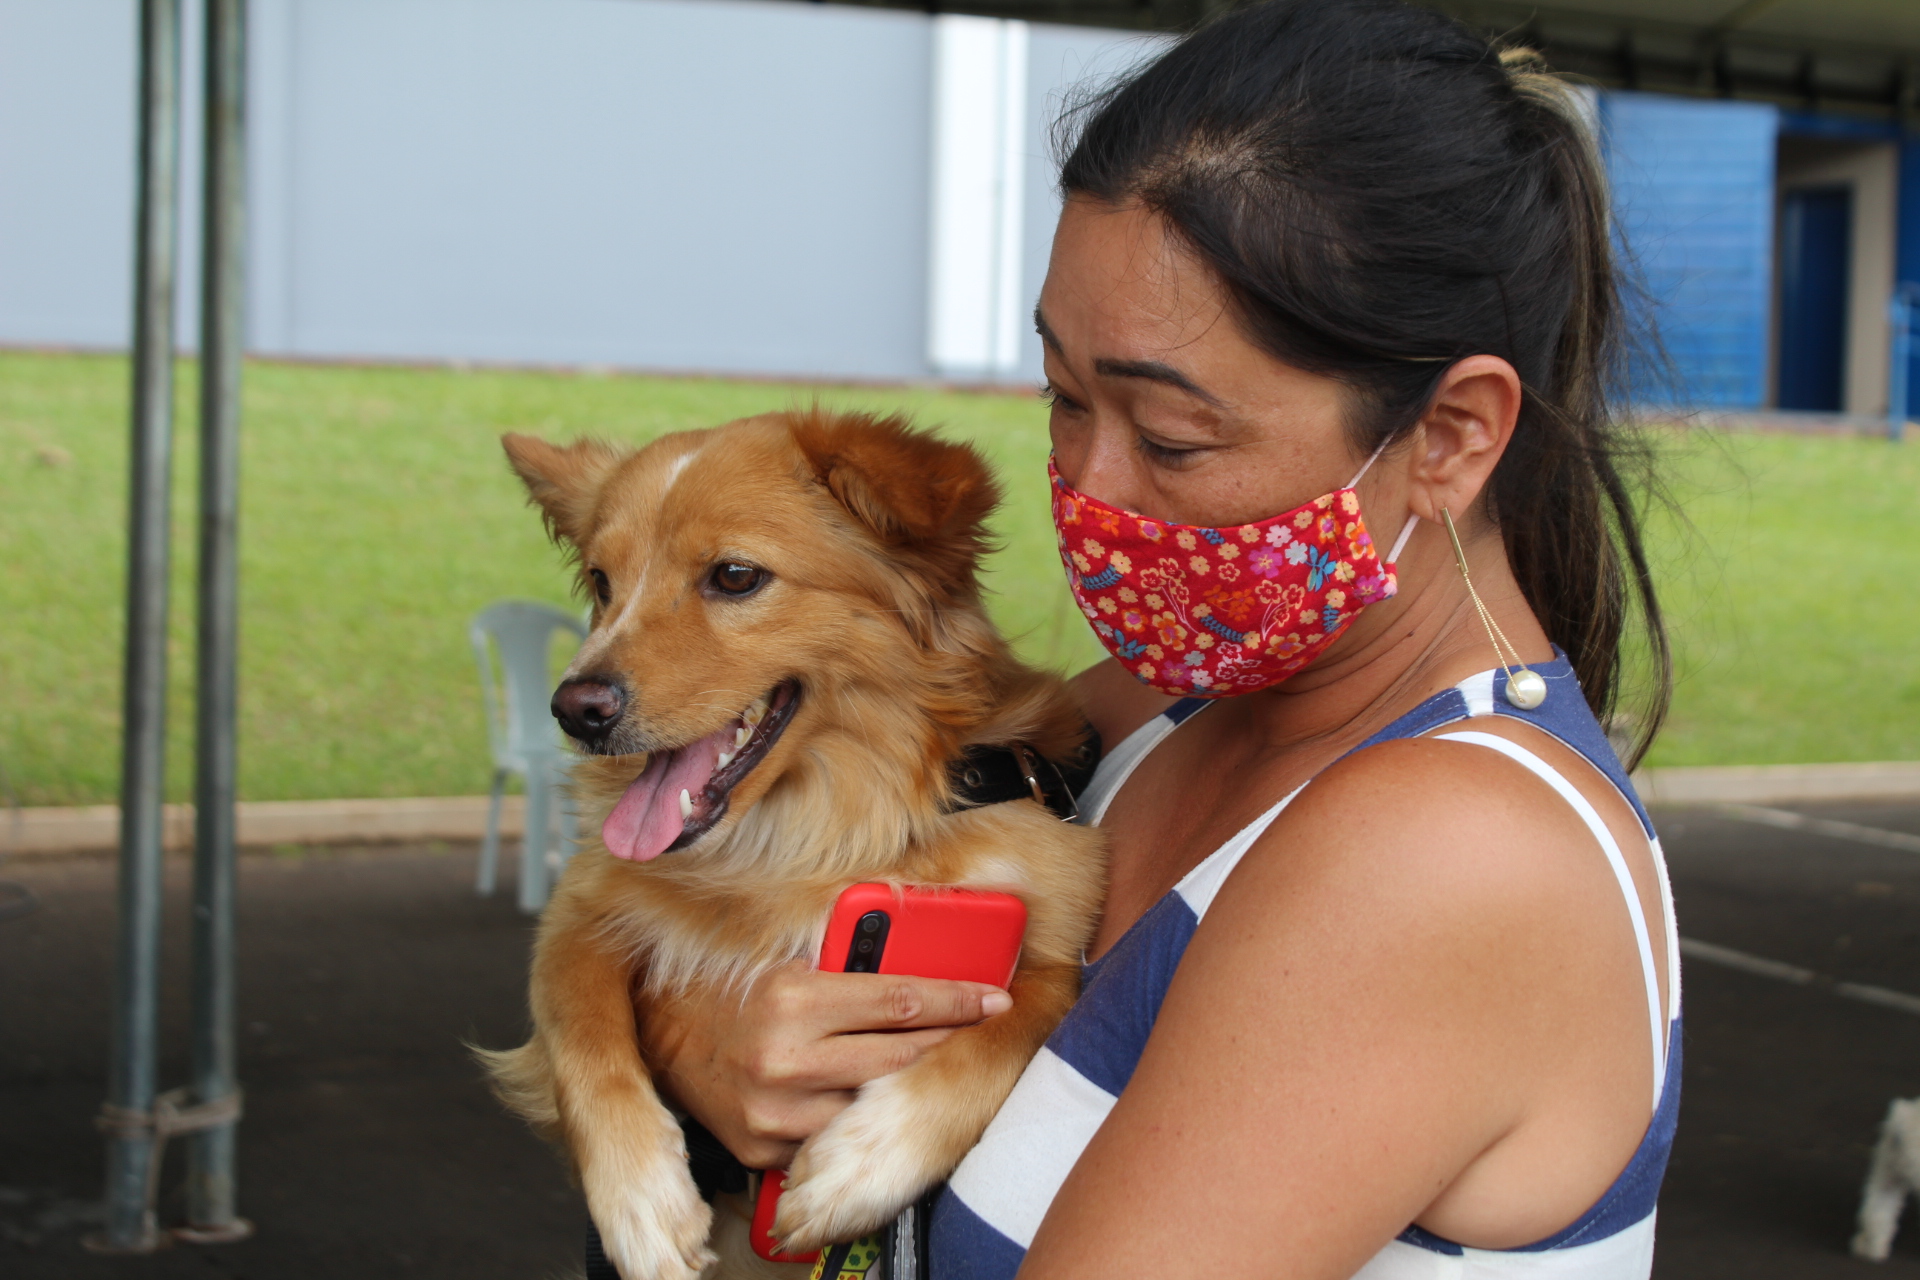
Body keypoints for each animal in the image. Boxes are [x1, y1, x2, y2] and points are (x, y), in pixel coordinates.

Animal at [480, 410, 1113, 1280]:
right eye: (603, 583)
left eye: (735, 577)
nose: (574, 708)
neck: (807, 834)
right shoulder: (578, 912)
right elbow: (586, 1037)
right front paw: (642, 1206)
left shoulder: (1046, 927)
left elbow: (1013, 1027)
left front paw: (863, 1164)